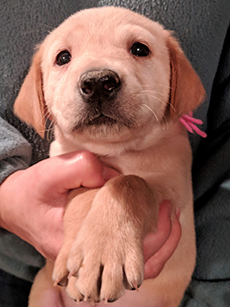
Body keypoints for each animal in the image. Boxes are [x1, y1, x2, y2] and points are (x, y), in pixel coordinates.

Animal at [13, 6, 205, 307]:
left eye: (139, 49)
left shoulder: (174, 190)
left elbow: (129, 183)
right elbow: (84, 193)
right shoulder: (69, 164)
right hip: (42, 293)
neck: (115, 151)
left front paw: (104, 252)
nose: (98, 82)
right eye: (63, 57)